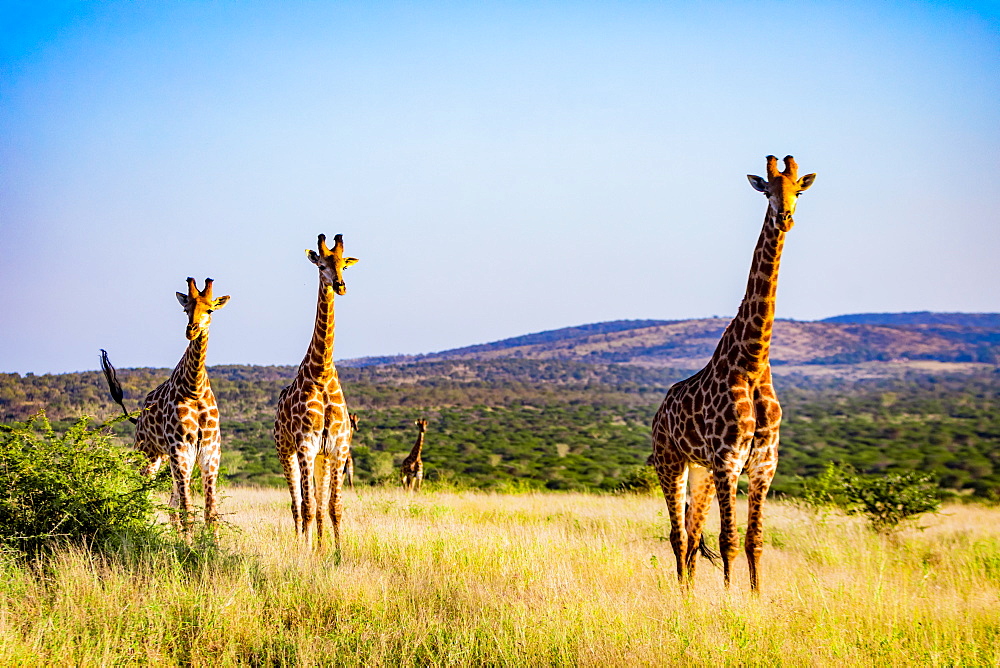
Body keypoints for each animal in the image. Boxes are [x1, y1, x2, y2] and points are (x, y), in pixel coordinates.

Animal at [101, 276, 230, 532]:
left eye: (210, 309)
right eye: (185, 309)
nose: (192, 330)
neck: (194, 388)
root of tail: (137, 417)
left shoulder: (210, 451)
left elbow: (210, 513)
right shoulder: (180, 447)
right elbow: (187, 511)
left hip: (168, 459)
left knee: (170, 505)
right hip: (148, 453)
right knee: (144, 497)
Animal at [274, 234, 360, 548]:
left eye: (344, 265)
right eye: (322, 265)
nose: (340, 285)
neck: (321, 373)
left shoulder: (337, 447)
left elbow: (334, 506)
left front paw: (336, 553)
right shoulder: (305, 445)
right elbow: (308, 505)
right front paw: (307, 552)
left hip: (321, 457)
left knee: (320, 506)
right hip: (285, 450)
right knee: (297, 505)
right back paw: (303, 544)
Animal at [652, 155, 816, 588]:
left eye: (798, 190)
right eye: (768, 190)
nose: (786, 217)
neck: (753, 361)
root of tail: (659, 412)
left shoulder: (762, 463)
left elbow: (753, 541)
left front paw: (756, 597)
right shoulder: (728, 460)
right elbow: (728, 541)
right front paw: (730, 597)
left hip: (701, 471)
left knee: (693, 535)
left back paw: (690, 591)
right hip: (670, 460)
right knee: (678, 535)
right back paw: (682, 595)